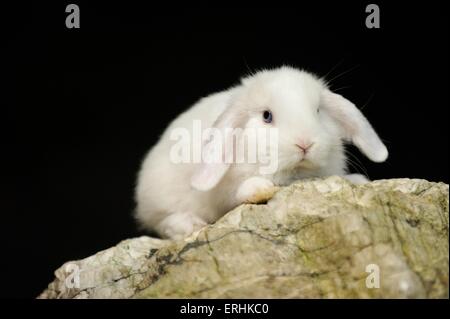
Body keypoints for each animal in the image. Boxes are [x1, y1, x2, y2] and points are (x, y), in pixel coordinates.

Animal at [134, 65, 386, 240]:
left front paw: (357, 179)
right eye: (267, 116)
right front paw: (260, 188)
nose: (304, 144)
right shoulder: (226, 190)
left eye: (317, 111)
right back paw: (190, 224)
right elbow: (239, 193)